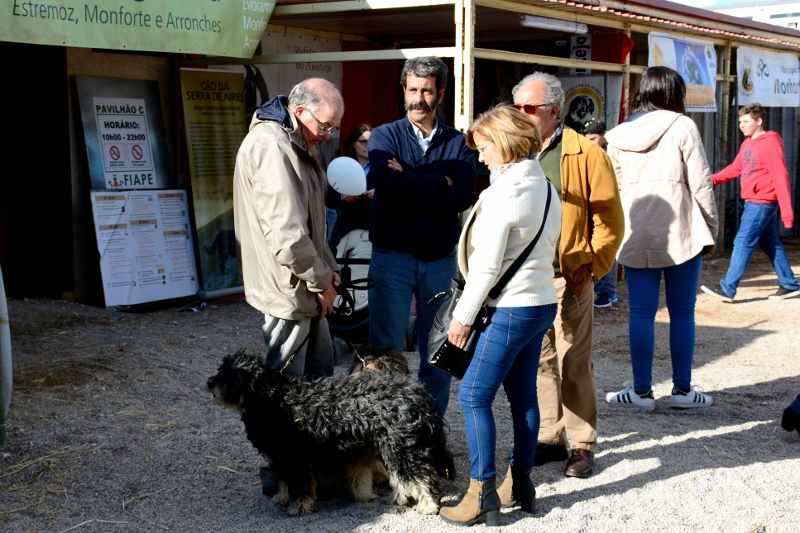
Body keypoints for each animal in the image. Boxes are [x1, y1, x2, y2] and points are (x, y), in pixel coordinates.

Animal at [208, 350, 456, 516]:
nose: (210, 382)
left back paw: (428, 506)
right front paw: (281, 498)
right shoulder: (282, 458)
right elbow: (285, 482)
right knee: (406, 477)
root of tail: (419, 395)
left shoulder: (293, 458)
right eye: (221, 369)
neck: (272, 400)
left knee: (418, 477)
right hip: (396, 448)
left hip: (402, 447)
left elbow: (299, 485)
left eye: (234, 377)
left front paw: (297, 507)